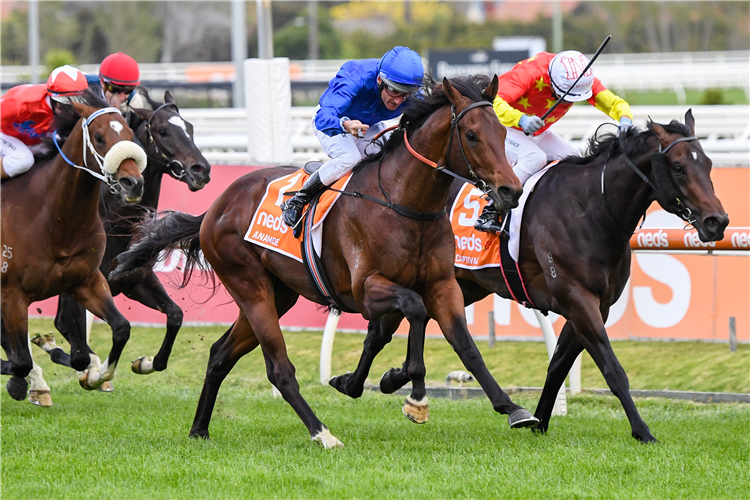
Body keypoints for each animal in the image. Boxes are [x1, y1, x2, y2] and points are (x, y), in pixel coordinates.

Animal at [0, 91, 148, 402]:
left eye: (130, 134)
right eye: (100, 137)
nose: (133, 183)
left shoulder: (85, 280)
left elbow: (119, 329)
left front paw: (94, 376)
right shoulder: (12, 294)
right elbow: (21, 362)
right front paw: (30, 379)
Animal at [37, 89, 212, 382]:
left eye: (189, 128)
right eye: (162, 131)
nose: (201, 170)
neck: (118, 224)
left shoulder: (135, 280)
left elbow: (175, 315)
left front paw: (146, 362)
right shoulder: (77, 287)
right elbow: (77, 347)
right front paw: (92, 372)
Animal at [111, 76, 544, 448]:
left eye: (503, 133)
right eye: (471, 135)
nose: (510, 190)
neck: (404, 202)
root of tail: (214, 209)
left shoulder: (443, 284)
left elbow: (465, 345)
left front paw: (512, 408)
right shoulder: (366, 290)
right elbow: (414, 309)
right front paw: (414, 394)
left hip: (278, 294)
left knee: (220, 355)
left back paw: (199, 428)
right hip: (249, 286)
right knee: (279, 369)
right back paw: (322, 433)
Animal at [328, 107, 728, 444]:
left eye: (708, 163)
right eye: (678, 166)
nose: (717, 221)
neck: (591, 209)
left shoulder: (594, 305)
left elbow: (558, 365)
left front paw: (540, 421)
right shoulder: (577, 298)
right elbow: (612, 369)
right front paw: (642, 431)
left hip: (456, 284)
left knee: (385, 329)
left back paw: (362, 381)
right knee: (391, 327)